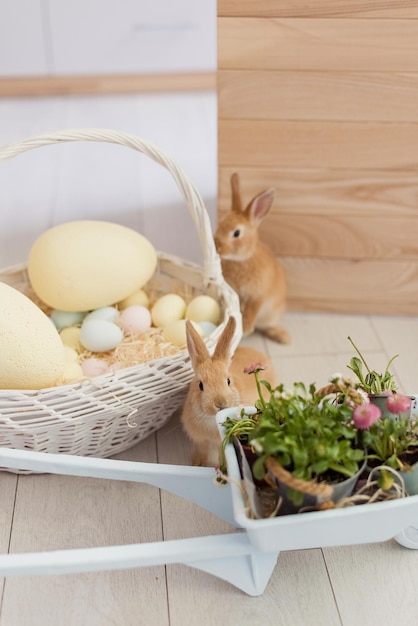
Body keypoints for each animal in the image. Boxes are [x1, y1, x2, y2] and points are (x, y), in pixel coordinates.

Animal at [180, 314, 276, 466]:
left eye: (228, 381)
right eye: (200, 385)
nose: (220, 403)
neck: (212, 419)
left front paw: (222, 468)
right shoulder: (201, 441)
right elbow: (202, 451)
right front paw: (197, 463)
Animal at [214, 172, 290, 342]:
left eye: (236, 233)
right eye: (219, 224)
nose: (217, 247)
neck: (241, 260)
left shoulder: (258, 295)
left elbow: (253, 309)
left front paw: (247, 328)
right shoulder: (236, 294)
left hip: (272, 314)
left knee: (267, 326)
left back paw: (282, 336)